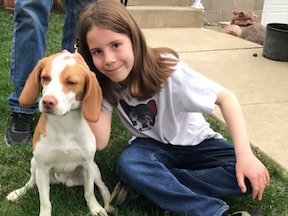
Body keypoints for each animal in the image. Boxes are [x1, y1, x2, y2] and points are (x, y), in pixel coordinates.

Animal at [6, 52, 113, 216]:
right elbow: (45, 202)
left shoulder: (87, 165)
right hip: (34, 163)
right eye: (45, 77)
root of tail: (64, 180)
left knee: (103, 186)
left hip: (94, 169)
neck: (64, 124)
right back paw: (18, 192)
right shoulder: (42, 168)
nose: (47, 102)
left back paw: (108, 202)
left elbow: (89, 193)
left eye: (71, 82)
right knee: (31, 182)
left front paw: (96, 209)